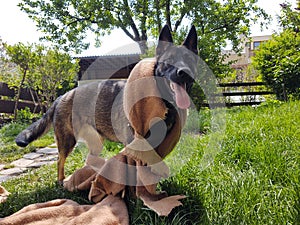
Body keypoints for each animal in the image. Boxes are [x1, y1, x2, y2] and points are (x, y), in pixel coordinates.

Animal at [16, 25, 199, 183]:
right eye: (170, 60)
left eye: (190, 60)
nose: (185, 72)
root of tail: (62, 96)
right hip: (67, 141)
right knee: (60, 160)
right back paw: (62, 180)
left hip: (95, 143)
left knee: (89, 159)